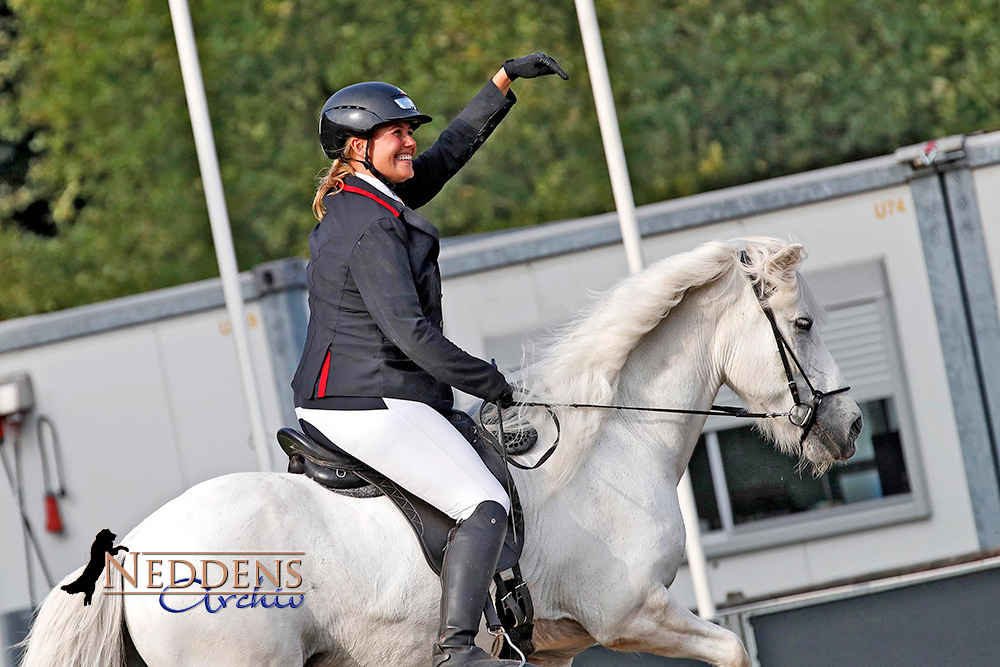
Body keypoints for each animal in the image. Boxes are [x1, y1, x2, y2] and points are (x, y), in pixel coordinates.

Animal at [25, 240, 868, 667]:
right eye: (802, 324)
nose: (851, 425)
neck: (610, 445)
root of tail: (136, 548)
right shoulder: (632, 614)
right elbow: (733, 650)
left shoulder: (555, 648)